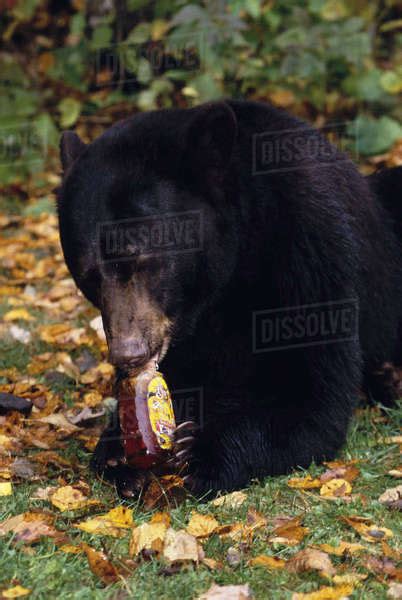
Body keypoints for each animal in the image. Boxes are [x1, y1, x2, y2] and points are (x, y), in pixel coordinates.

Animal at [56, 102, 402, 496]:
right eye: (88, 275)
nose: (129, 353)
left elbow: (314, 394)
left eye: (144, 261)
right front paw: (119, 453)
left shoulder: (309, 255)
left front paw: (201, 450)